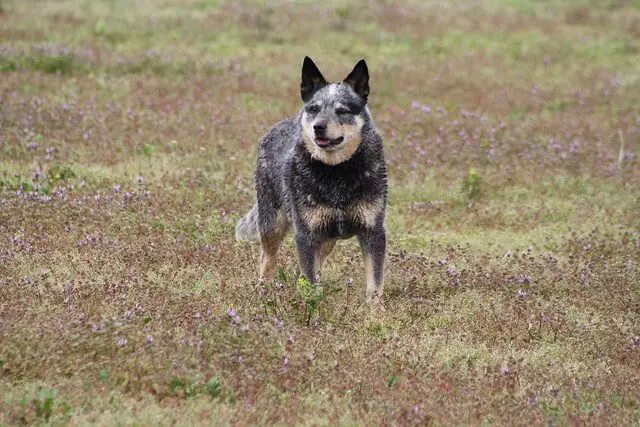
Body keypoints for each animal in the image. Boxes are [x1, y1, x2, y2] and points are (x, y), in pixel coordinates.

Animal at [234, 56, 384, 302]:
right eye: (314, 108)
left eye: (342, 111)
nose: (318, 127)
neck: (337, 173)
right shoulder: (306, 234)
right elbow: (309, 280)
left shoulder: (373, 232)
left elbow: (375, 283)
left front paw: (375, 309)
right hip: (272, 223)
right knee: (267, 260)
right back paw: (264, 292)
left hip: (327, 237)